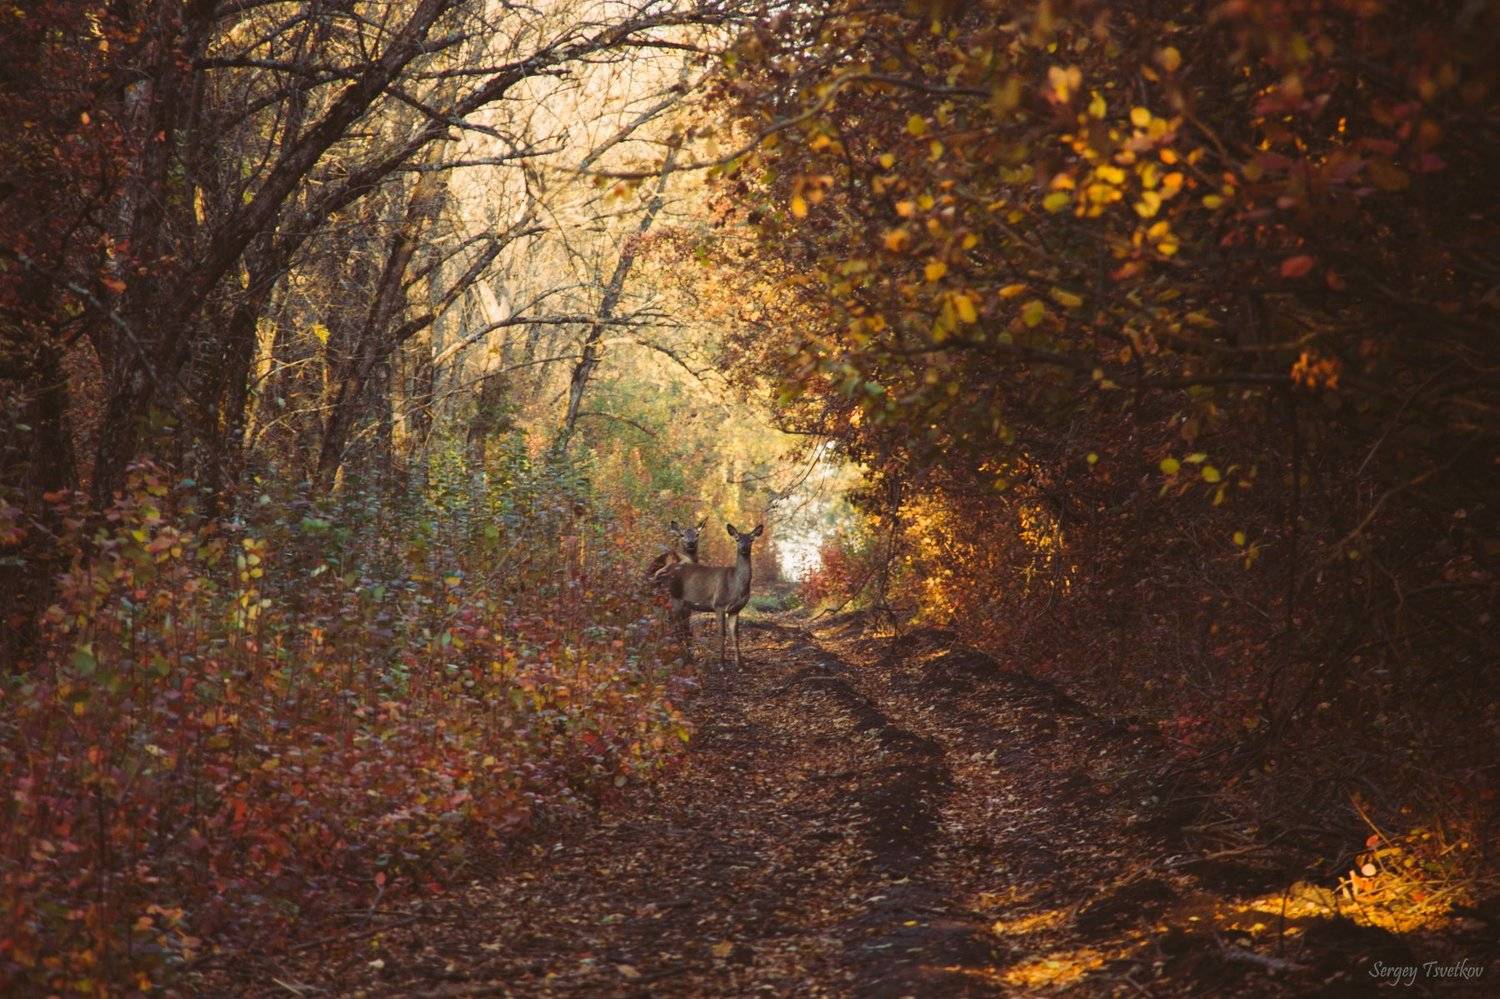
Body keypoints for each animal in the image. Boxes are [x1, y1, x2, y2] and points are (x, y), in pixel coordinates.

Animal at [669, 523, 763, 668]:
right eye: (737, 539)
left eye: (751, 539)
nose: (744, 548)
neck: (736, 585)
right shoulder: (719, 605)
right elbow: (722, 634)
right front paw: (721, 664)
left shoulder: (736, 610)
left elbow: (735, 635)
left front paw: (740, 665)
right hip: (675, 597)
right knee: (677, 627)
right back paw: (682, 658)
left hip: (685, 604)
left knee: (684, 628)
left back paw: (689, 658)